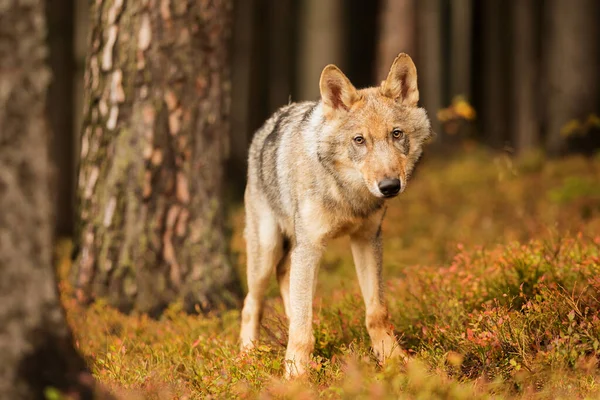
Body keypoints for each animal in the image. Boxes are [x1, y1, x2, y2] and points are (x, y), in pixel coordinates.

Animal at [241, 52, 434, 376]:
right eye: (359, 140)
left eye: (396, 134)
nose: (390, 186)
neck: (348, 195)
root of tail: (265, 126)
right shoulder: (311, 247)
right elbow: (301, 329)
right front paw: (295, 377)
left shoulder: (367, 239)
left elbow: (376, 312)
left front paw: (393, 359)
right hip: (267, 252)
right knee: (251, 303)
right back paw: (246, 358)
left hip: (290, 252)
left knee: (286, 281)